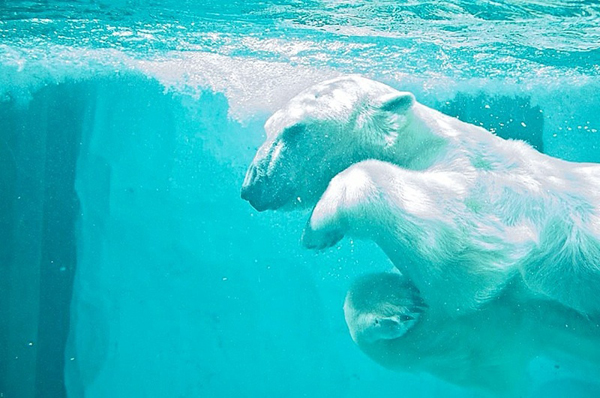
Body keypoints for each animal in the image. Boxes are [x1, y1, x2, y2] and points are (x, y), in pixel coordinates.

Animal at [241, 74, 600, 318]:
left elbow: (464, 257)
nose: (251, 188)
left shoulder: (493, 188)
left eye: (295, 130)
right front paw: (394, 304)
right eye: (268, 127)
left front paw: (316, 229)